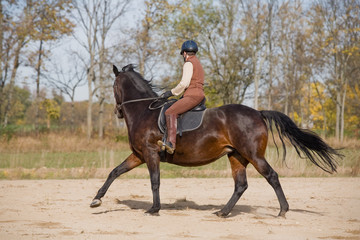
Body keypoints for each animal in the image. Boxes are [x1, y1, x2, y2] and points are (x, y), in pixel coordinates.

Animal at [89, 63, 340, 218]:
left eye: (113, 87)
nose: (118, 112)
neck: (143, 111)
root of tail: (258, 113)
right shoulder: (139, 155)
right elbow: (114, 172)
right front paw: (96, 200)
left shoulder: (150, 154)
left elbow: (154, 181)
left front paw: (154, 209)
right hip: (236, 156)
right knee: (241, 185)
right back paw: (223, 212)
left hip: (253, 155)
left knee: (272, 176)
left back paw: (283, 210)